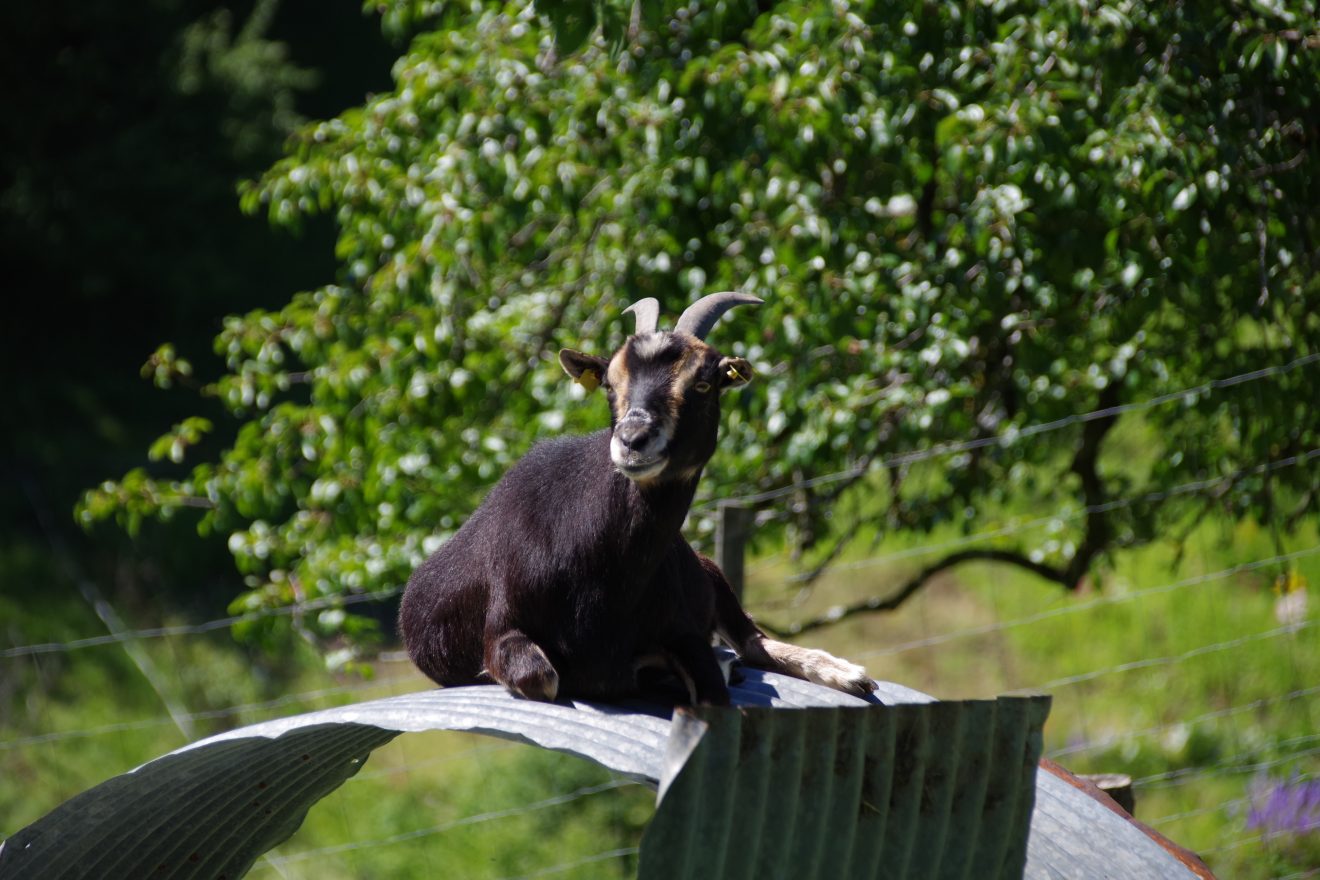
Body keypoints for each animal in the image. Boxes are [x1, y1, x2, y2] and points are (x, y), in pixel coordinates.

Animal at [399, 292, 875, 705]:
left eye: (704, 383)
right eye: (609, 384)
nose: (632, 440)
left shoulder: (682, 629)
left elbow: (710, 686)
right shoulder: (505, 624)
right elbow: (544, 676)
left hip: (711, 572)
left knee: (754, 642)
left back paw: (851, 675)